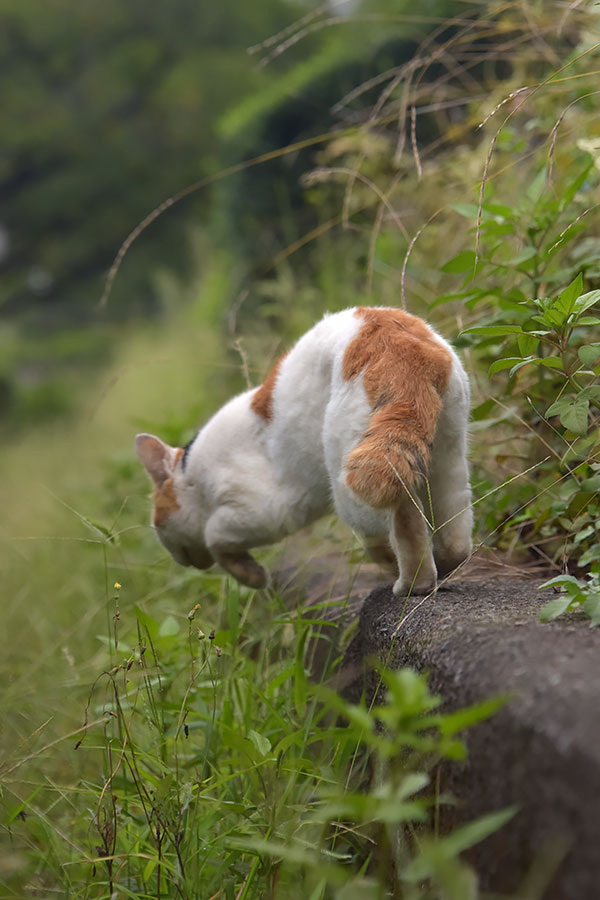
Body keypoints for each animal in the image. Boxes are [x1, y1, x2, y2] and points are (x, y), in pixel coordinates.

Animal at [136, 308, 474, 596]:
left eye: (157, 523)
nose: (180, 560)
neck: (194, 474)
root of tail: (398, 342)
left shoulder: (266, 511)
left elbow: (214, 537)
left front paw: (254, 576)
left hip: (351, 480)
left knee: (401, 519)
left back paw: (409, 581)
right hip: (448, 456)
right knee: (455, 533)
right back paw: (444, 564)